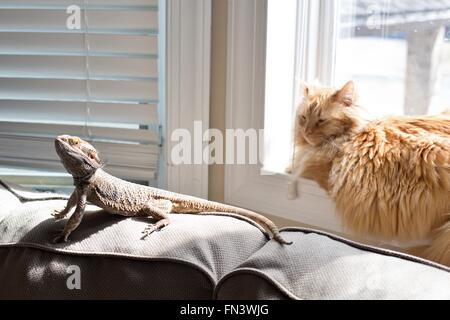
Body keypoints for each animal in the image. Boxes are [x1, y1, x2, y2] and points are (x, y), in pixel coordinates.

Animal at [290, 80, 450, 268]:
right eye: (303, 118)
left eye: (321, 120)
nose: (306, 132)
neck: (353, 134)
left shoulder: (320, 170)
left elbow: (300, 168)